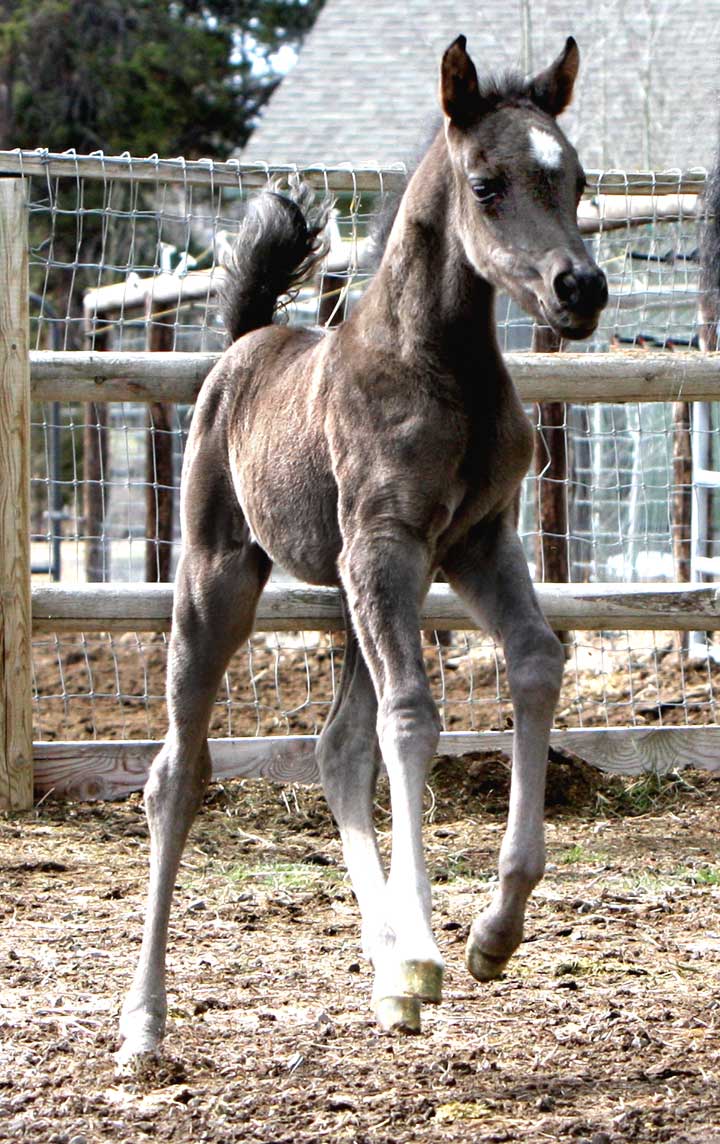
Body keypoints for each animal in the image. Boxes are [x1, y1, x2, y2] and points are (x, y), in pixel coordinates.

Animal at [117, 31, 604, 1061]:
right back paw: (144, 1023)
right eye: (487, 183)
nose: (580, 287)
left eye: (577, 179)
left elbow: (536, 662)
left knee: (337, 749)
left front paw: (491, 935)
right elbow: (413, 718)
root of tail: (247, 342)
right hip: (220, 577)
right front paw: (426, 947)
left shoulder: (476, 542)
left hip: (351, 591)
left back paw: (388, 982)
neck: (438, 366)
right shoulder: (387, 545)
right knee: (178, 774)